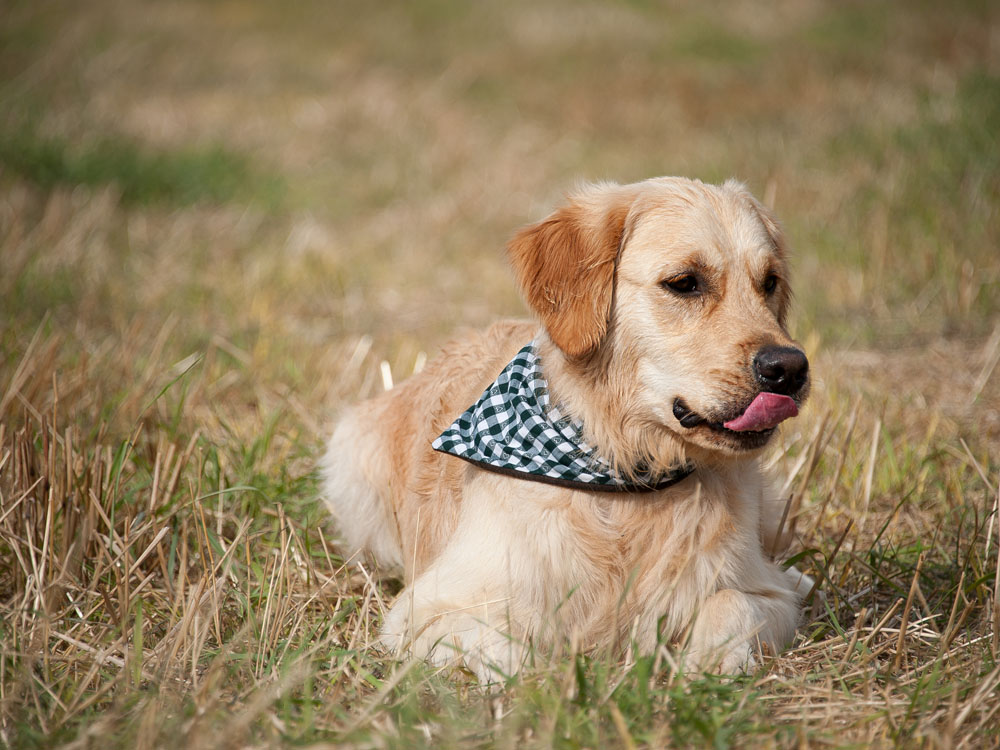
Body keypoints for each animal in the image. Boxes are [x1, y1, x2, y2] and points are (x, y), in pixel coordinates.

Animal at [324, 175, 816, 680]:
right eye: (684, 283)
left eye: (770, 282)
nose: (789, 368)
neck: (625, 470)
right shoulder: (429, 610)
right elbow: (514, 653)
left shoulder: (766, 594)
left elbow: (733, 605)